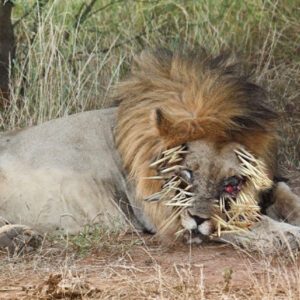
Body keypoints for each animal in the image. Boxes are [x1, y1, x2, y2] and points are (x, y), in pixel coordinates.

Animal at [0, 48, 300, 254]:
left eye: (232, 183)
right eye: (187, 174)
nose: (197, 218)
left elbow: (285, 194)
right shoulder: (164, 214)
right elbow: (238, 221)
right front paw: (285, 234)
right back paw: (18, 238)